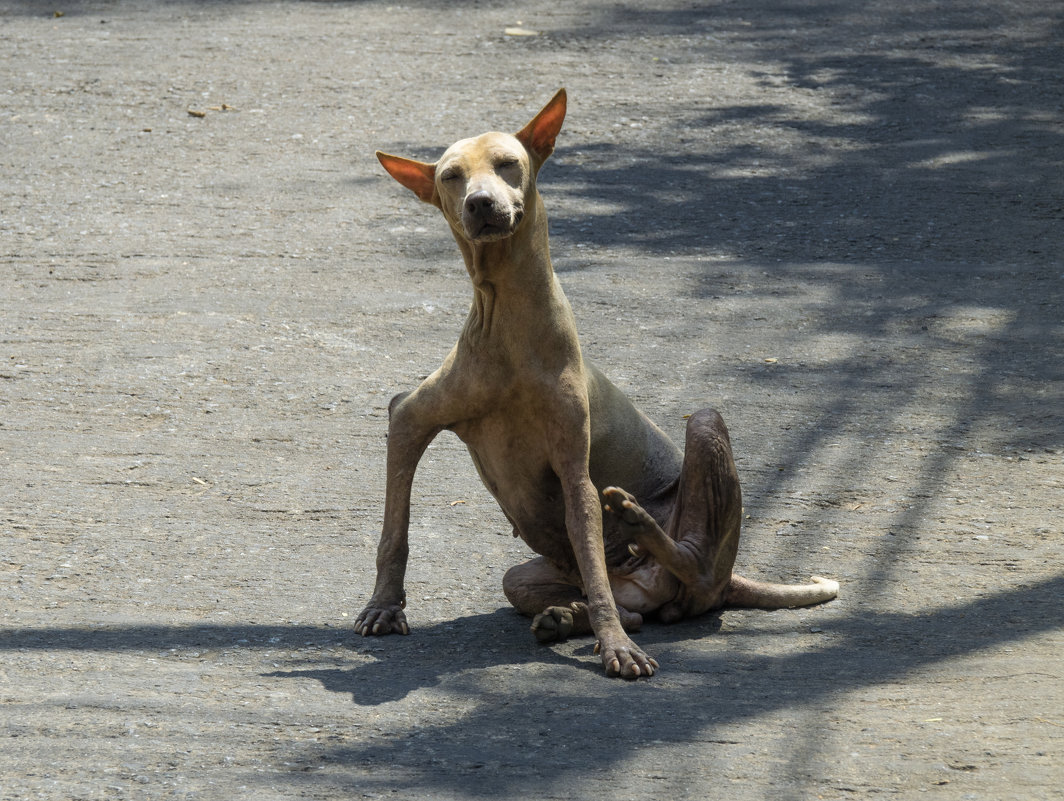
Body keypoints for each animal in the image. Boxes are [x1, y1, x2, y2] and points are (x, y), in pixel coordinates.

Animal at [353, 88, 834, 676]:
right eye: (450, 176)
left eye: (508, 164)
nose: (481, 204)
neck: (507, 320)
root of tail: (725, 581)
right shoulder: (409, 419)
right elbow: (393, 529)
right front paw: (383, 606)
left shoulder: (573, 471)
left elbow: (585, 528)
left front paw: (615, 649)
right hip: (530, 576)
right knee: (624, 605)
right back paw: (570, 615)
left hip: (701, 436)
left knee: (680, 565)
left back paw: (638, 529)